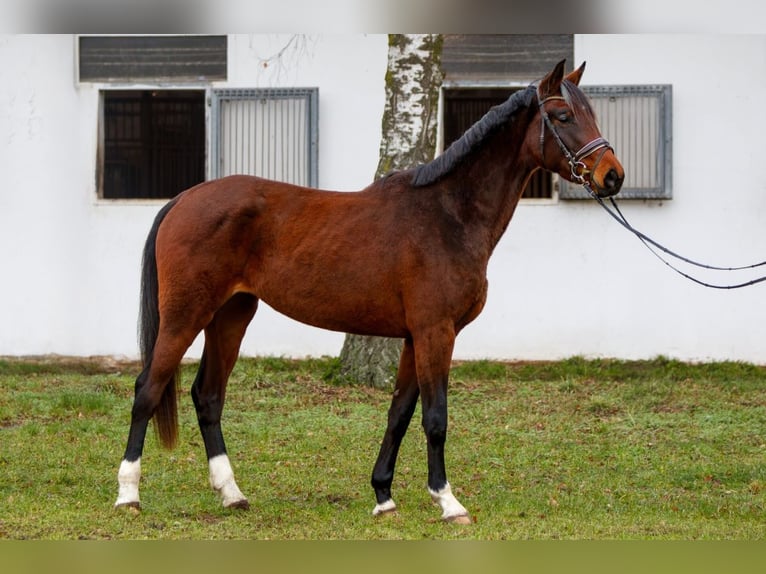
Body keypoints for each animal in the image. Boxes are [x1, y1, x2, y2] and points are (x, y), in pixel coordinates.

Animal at [117, 60, 628, 524]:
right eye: (563, 116)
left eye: (592, 113)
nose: (612, 175)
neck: (448, 214)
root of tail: (184, 199)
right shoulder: (435, 332)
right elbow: (435, 418)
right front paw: (448, 502)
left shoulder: (414, 337)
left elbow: (399, 413)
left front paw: (384, 496)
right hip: (186, 315)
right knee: (148, 388)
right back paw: (128, 495)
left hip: (231, 315)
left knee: (208, 395)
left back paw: (232, 494)